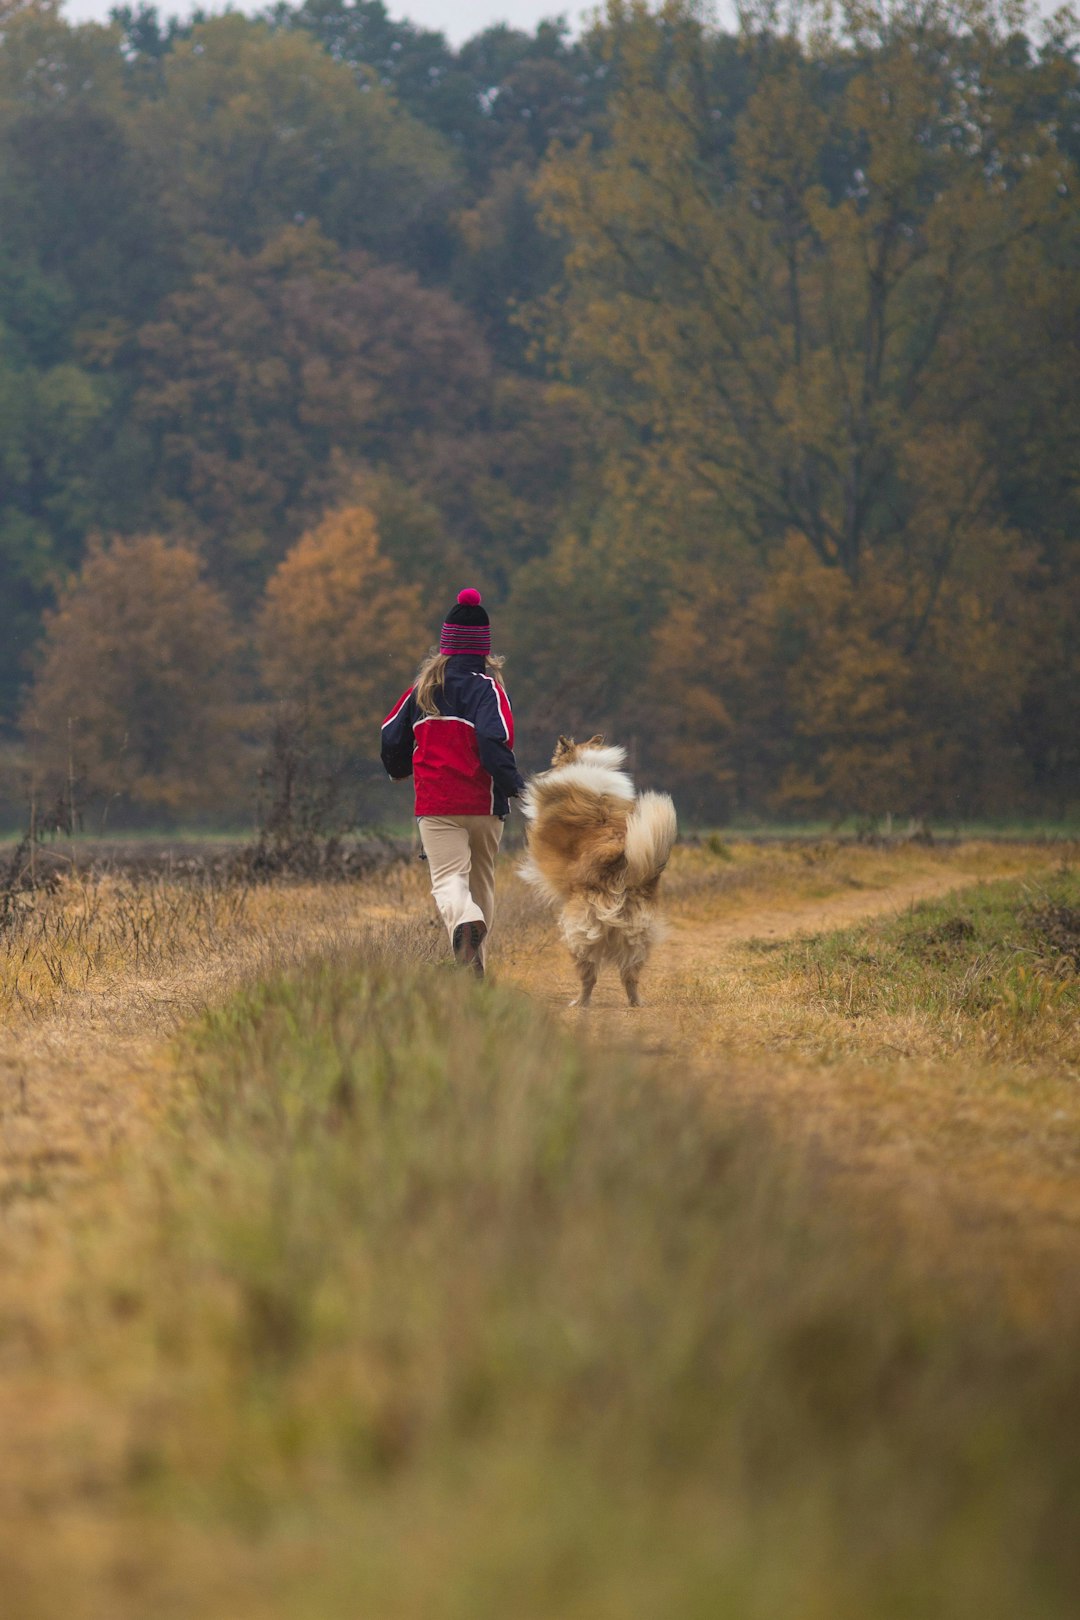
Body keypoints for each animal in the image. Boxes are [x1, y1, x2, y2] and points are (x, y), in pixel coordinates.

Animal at [521, 738, 676, 1010]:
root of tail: (621, 865)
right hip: (637, 936)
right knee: (630, 976)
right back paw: (635, 1003)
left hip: (579, 932)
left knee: (589, 976)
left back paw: (579, 1003)